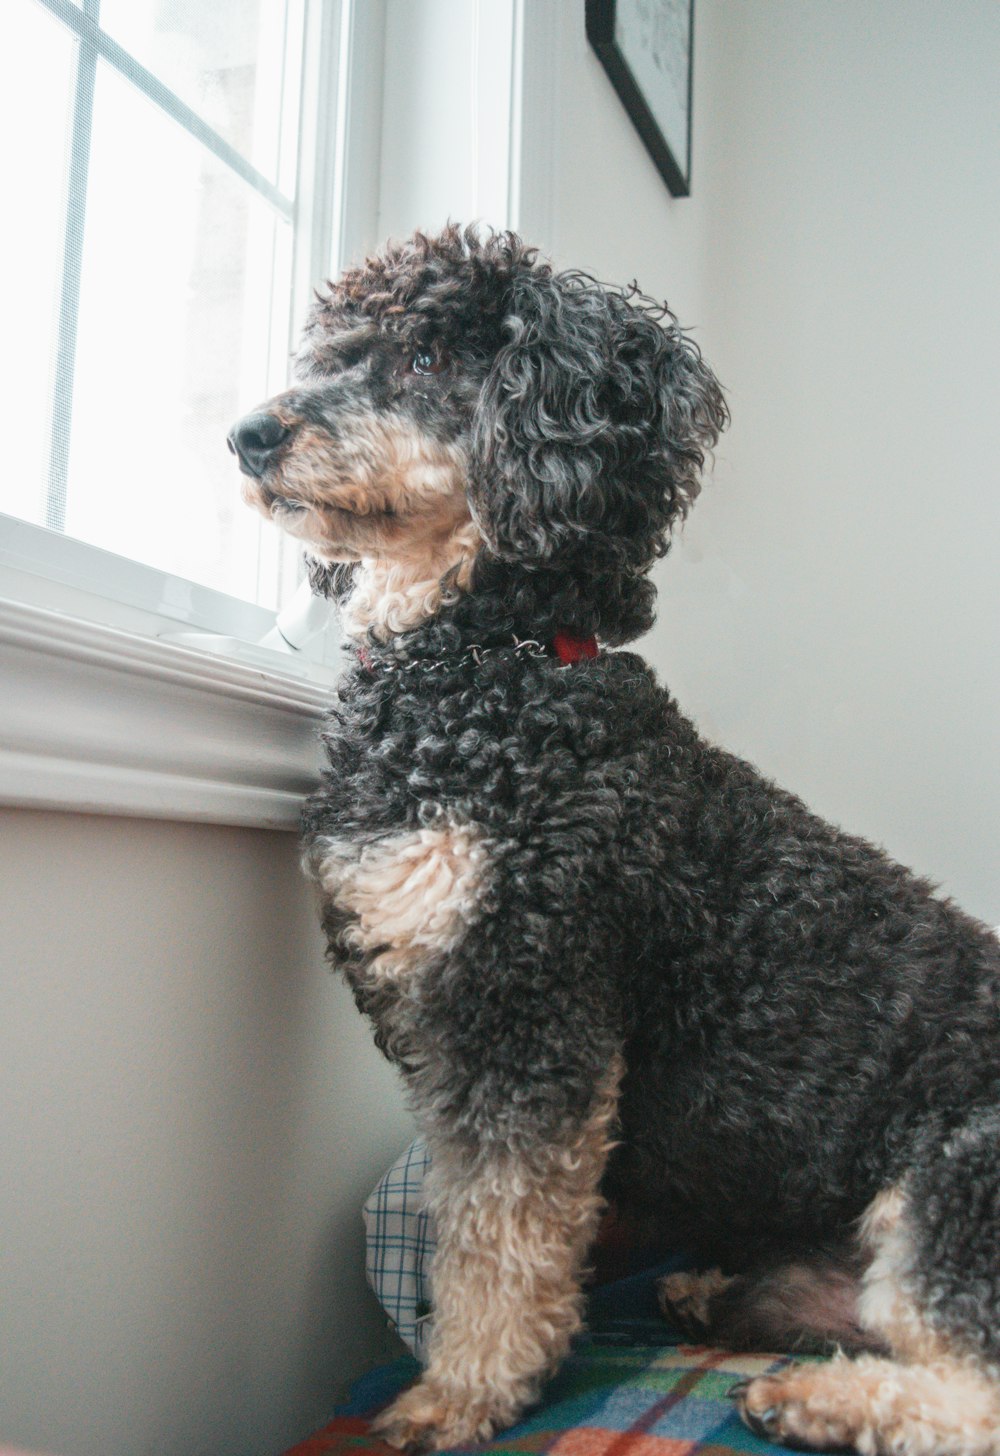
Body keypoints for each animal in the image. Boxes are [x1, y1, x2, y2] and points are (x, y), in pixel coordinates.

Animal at [231, 227, 1000, 1456]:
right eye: (334, 350)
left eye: (431, 354)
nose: (248, 433)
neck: (485, 670)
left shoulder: (528, 1005)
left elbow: (498, 1231)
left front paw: (467, 1387)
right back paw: (735, 1306)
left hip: (957, 1180)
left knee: (972, 1388)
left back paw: (818, 1400)